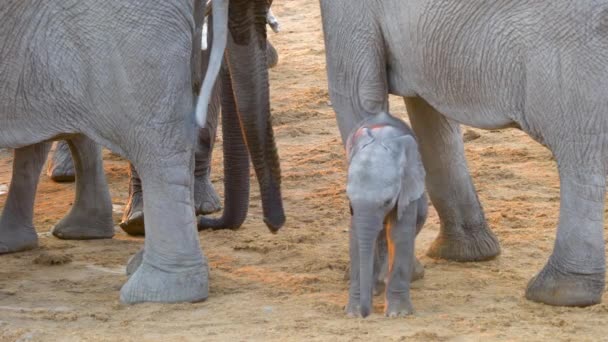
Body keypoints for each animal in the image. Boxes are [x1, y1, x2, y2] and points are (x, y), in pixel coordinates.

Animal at [346, 112, 428, 318]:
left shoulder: (407, 184)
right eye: (349, 200)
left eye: (388, 201)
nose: (366, 314)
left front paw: (398, 314)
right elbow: (356, 238)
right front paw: (353, 313)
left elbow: (399, 234)